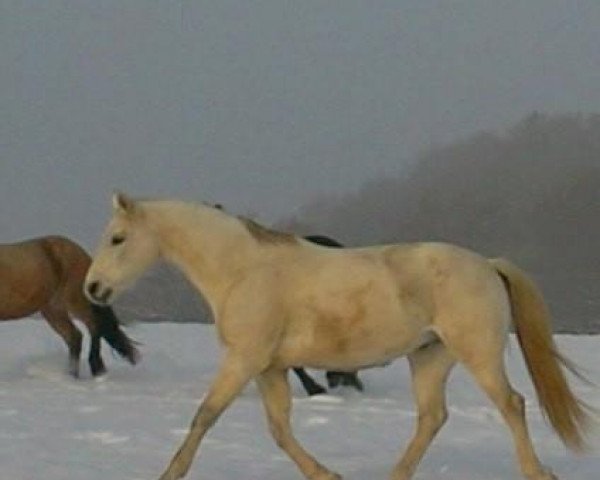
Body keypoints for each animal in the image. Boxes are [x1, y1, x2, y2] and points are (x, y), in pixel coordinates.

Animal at [0, 234, 139, 376]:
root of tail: (83, 255)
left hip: (75, 302)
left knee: (93, 327)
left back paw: (95, 368)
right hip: (54, 310)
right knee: (74, 336)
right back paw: (72, 375)